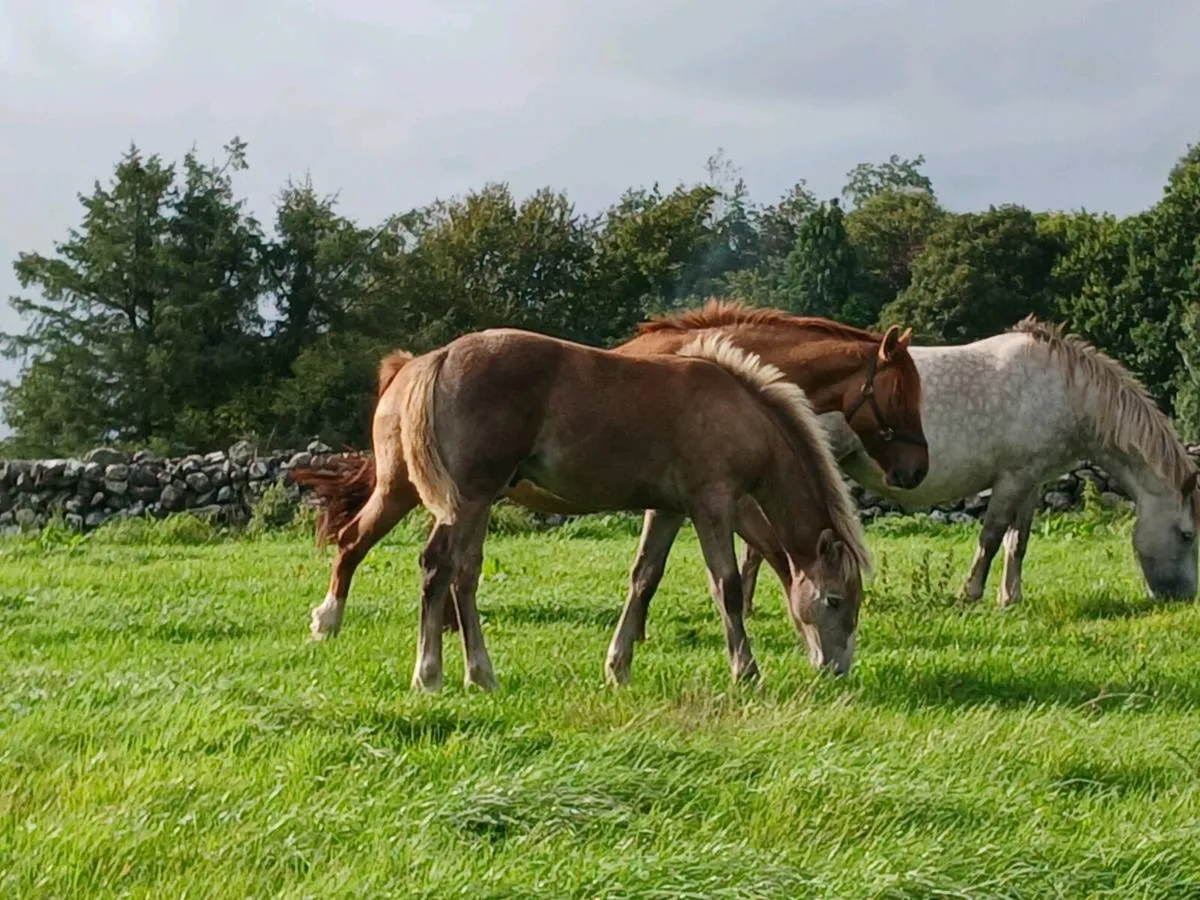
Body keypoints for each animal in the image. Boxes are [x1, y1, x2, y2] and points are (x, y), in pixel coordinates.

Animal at [291, 300, 927, 675]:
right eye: (836, 601)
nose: (837, 669)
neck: (739, 405)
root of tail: (432, 359)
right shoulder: (714, 504)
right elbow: (727, 582)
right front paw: (745, 669)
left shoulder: (668, 509)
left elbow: (645, 575)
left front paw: (619, 663)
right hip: (461, 496)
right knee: (414, 559)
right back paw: (413, 662)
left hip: (439, 495)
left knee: (442, 566)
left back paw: (470, 669)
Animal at [738, 316, 1200, 612]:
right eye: (1187, 534)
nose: (1183, 597)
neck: (1065, 390)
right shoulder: (1012, 478)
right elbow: (991, 536)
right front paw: (970, 594)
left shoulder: (1032, 479)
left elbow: (1018, 541)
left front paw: (1010, 598)